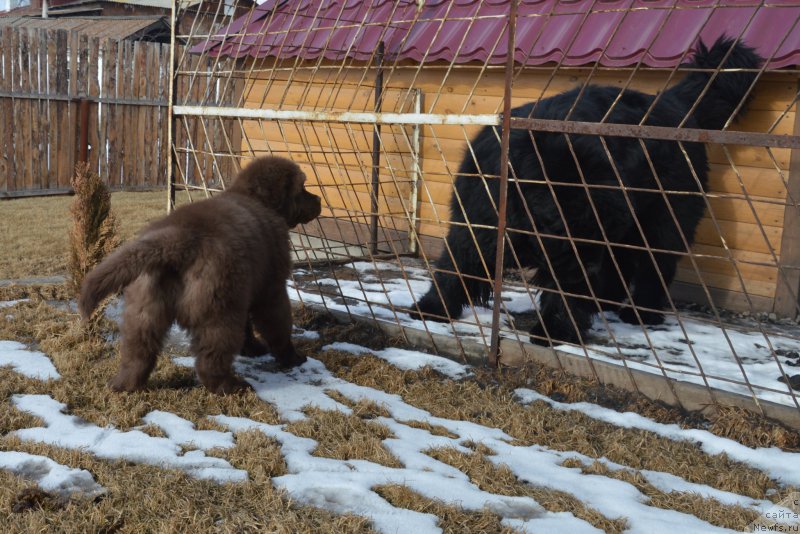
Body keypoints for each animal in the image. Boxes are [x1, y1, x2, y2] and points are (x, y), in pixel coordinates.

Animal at [79, 157, 322, 396]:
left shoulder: (246, 289)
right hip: (219, 308)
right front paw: (292, 358)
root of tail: (177, 238)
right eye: (302, 188)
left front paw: (252, 349)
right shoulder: (271, 288)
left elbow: (248, 327)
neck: (256, 199)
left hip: (145, 307)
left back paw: (124, 384)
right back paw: (231, 386)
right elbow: (278, 326)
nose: (319, 199)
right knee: (211, 357)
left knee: (137, 350)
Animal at [412, 38, 764, 348]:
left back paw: (639, 312)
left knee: (655, 266)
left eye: (589, 230)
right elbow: (456, 265)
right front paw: (432, 308)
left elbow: (564, 296)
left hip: (660, 222)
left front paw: (555, 331)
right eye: (563, 226)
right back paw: (607, 302)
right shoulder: (476, 221)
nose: (590, 273)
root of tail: (675, 102)